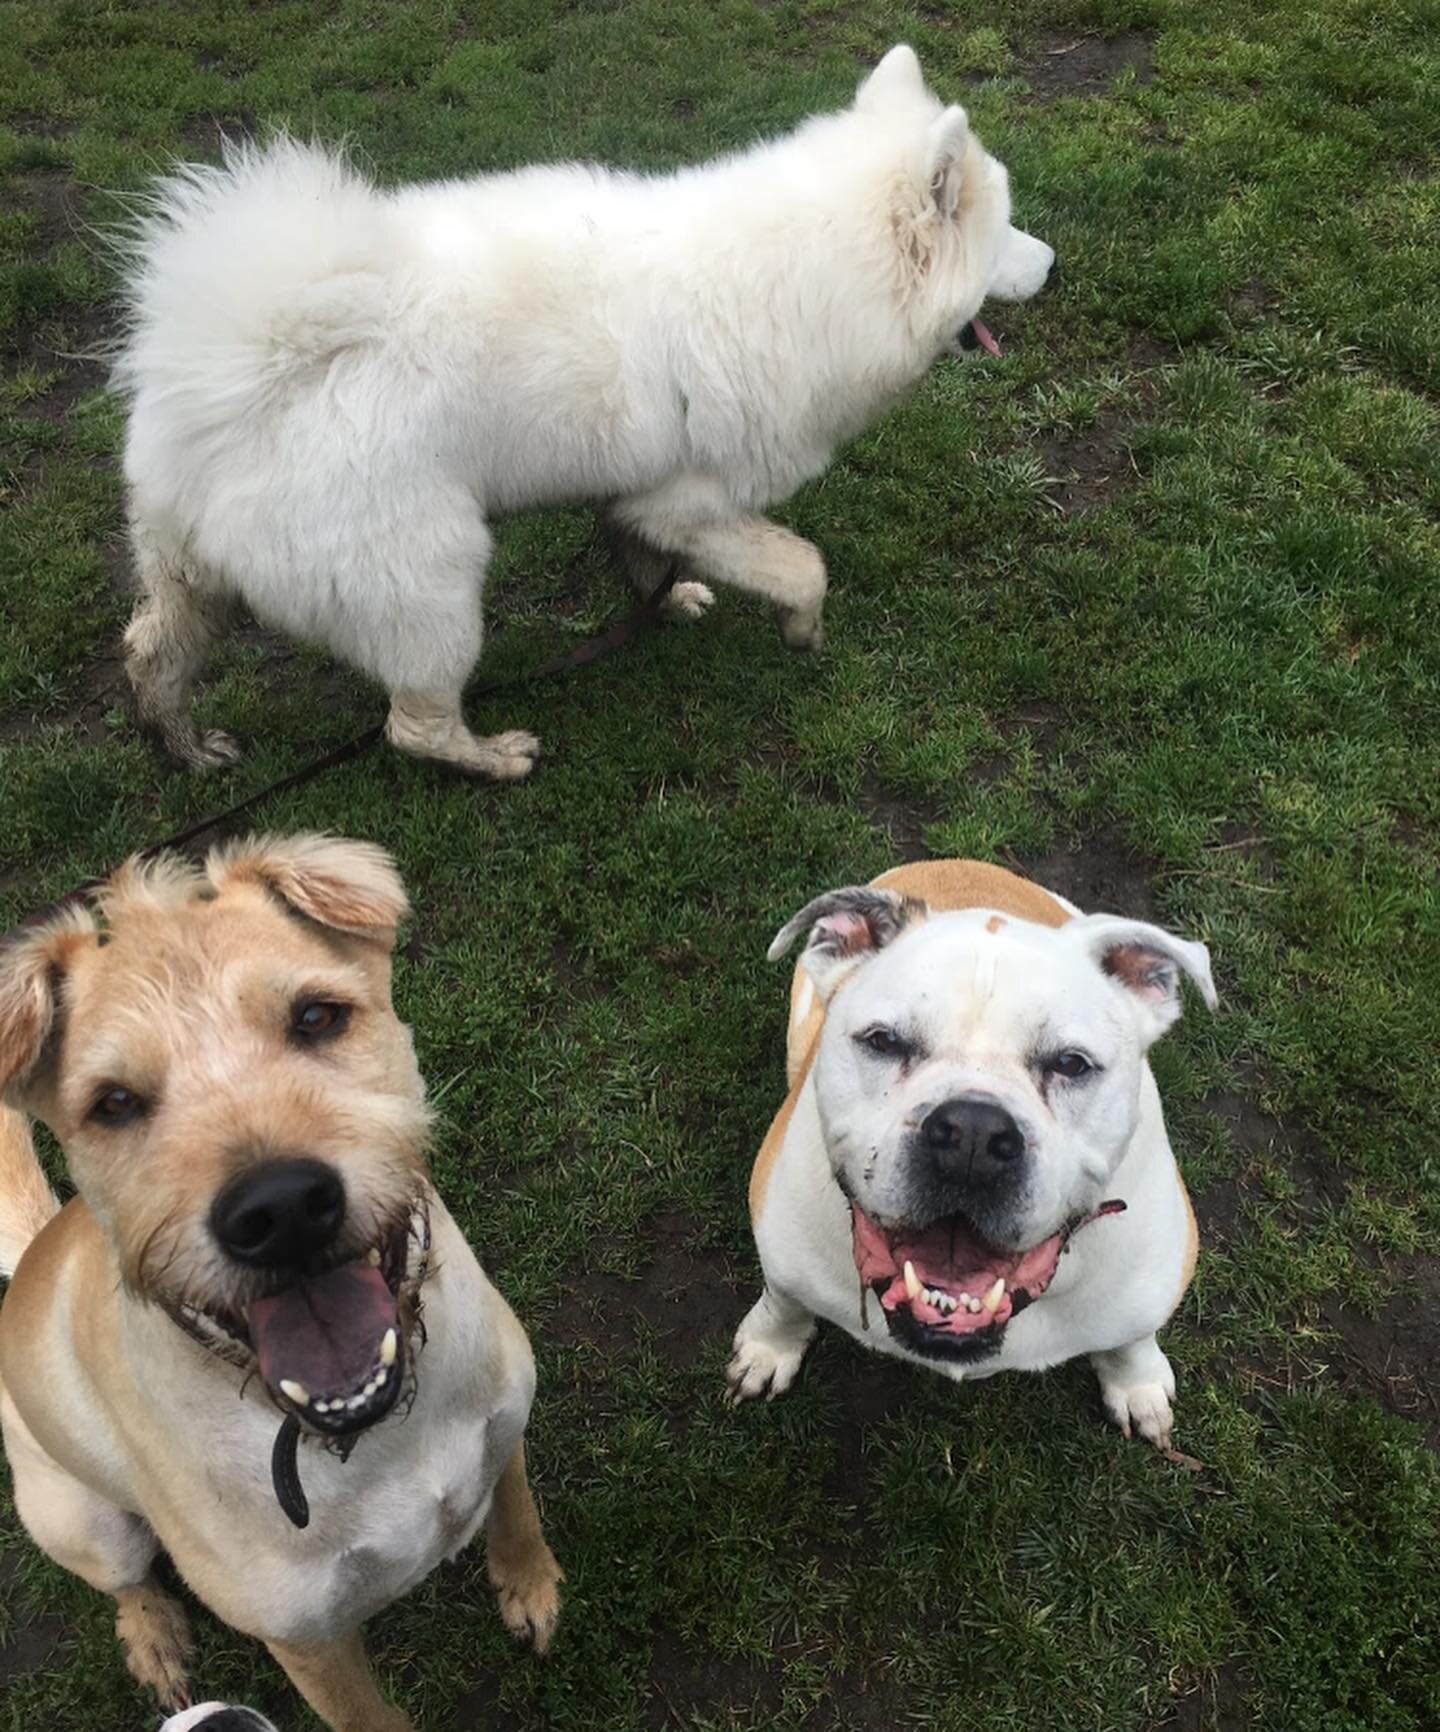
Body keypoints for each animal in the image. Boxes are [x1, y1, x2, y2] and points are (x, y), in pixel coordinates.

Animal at [0, 831, 561, 1725]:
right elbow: (369, 1717)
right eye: (114, 1102)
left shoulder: (505, 1429)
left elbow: (516, 1509)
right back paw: (154, 1637)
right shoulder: (310, 1645)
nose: (281, 1210)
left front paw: (531, 1586)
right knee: (125, 1583)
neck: (375, 1431)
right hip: (83, 1518)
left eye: (316, 1016)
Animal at [115, 45, 1060, 779]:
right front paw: (801, 631)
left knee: (149, 655)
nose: (1052, 263)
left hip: (192, 576)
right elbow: (804, 566)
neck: (809, 279)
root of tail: (247, 361)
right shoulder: (693, 496)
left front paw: (671, 599)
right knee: (411, 725)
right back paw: (494, 758)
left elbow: (647, 559)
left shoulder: (645, 492)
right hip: (434, 585)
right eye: (1008, 231)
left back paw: (187, 748)